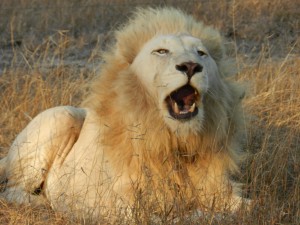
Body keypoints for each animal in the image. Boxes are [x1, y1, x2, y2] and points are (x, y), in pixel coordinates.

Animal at [0, 7, 247, 221]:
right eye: (161, 51)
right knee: (12, 191)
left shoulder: (220, 188)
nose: (190, 66)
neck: (174, 141)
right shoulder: (120, 206)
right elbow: (172, 219)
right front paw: (198, 214)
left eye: (201, 53)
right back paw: (46, 204)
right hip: (62, 116)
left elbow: (243, 207)